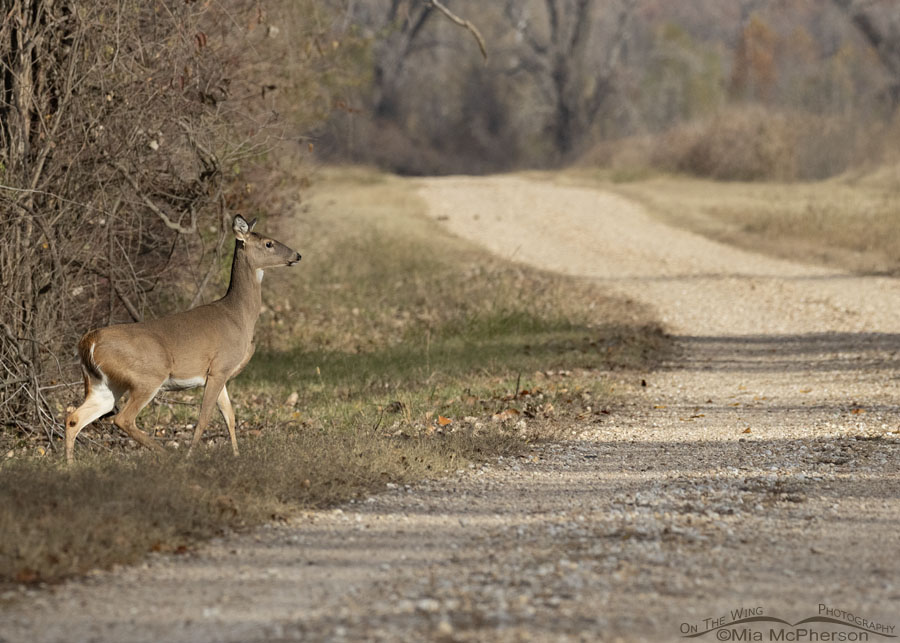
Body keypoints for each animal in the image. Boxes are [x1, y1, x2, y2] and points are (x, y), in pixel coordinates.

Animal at [65, 215, 302, 462]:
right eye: (268, 243)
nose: (297, 255)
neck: (239, 315)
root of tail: (88, 342)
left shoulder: (219, 374)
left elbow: (230, 416)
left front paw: (237, 456)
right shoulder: (219, 367)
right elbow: (205, 418)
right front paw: (190, 457)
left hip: (105, 384)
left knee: (74, 418)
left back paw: (70, 465)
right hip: (148, 376)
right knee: (122, 419)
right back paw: (167, 454)